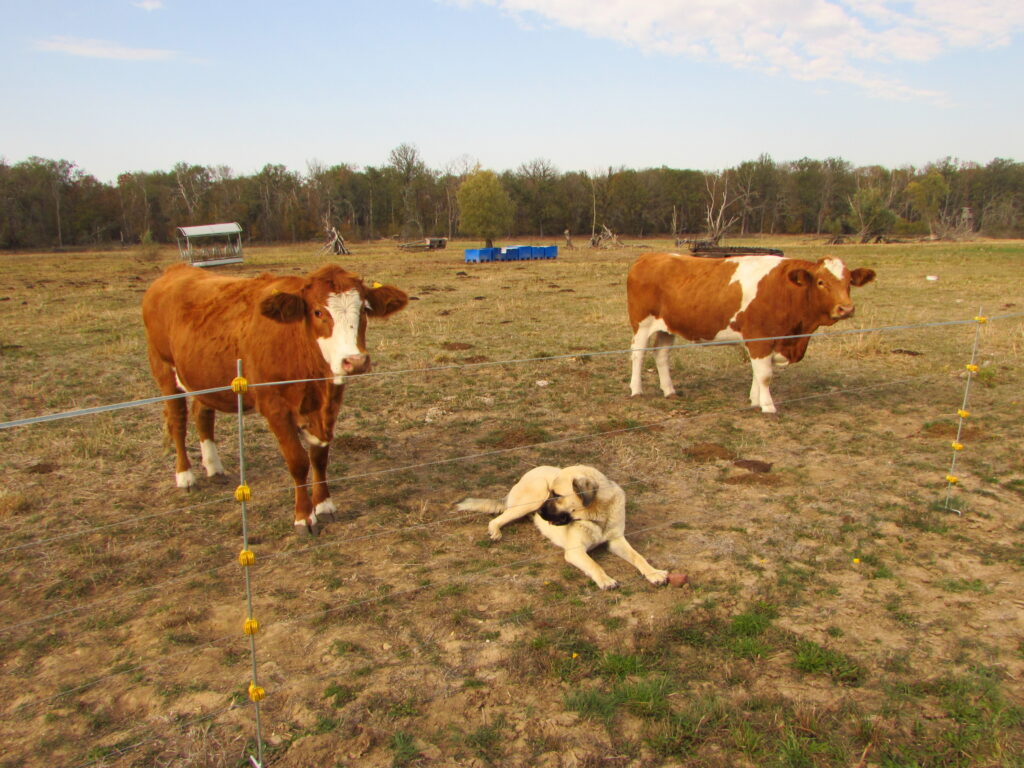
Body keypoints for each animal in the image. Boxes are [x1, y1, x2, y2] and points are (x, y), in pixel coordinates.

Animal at [144, 264, 407, 536]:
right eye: (317, 312)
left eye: (364, 309)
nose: (355, 361)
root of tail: (176, 270)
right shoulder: (275, 409)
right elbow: (298, 461)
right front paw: (304, 517)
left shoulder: (327, 408)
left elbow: (319, 457)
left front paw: (324, 505)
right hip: (164, 369)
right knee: (177, 420)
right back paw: (185, 476)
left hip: (203, 378)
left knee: (202, 413)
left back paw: (213, 467)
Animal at [458, 466, 671, 593]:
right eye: (550, 493)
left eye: (557, 495)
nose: (540, 512)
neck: (597, 516)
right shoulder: (575, 551)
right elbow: (594, 564)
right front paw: (606, 580)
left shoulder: (616, 540)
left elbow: (638, 557)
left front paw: (654, 573)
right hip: (533, 496)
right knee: (497, 519)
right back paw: (496, 531)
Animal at [626, 253, 876, 415]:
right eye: (821, 282)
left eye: (849, 282)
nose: (846, 309)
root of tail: (650, 256)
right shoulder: (760, 339)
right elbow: (765, 374)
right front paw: (768, 406)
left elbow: (759, 372)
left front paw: (755, 401)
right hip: (642, 323)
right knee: (638, 354)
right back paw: (637, 390)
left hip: (667, 327)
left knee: (661, 354)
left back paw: (669, 391)